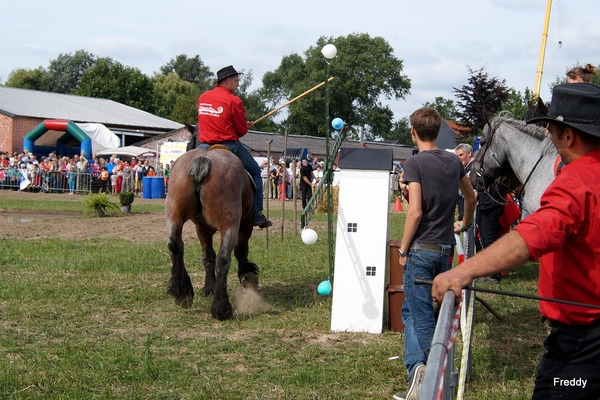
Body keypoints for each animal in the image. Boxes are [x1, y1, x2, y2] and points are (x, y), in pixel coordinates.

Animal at [164, 145, 258, 320]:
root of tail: (204, 160)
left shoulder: (201, 229)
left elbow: (207, 257)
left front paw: (208, 287)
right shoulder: (246, 224)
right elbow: (241, 250)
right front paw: (247, 274)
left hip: (174, 216)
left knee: (175, 246)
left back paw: (182, 292)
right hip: (230, 223)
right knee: (224, 258)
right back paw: (221, 307)